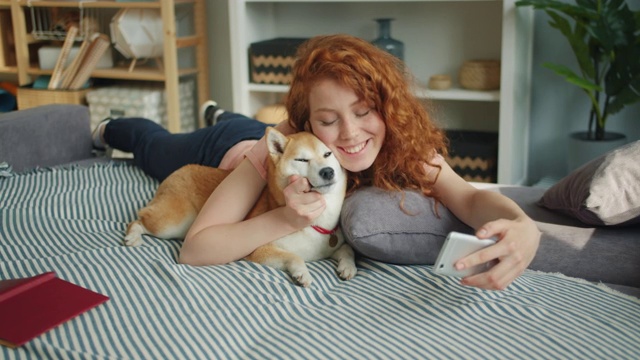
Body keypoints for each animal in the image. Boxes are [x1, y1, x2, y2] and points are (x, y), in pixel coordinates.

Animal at [124, 126, 356, 286]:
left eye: (327, 154)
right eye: (302, 160)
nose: (328, 171)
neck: (316, 224)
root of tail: (178, 170)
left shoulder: (333, 244)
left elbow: (347, 249)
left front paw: (348, 266)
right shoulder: (259, 250)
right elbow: (294, 256)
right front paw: (302, 273)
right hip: (174, 224)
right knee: (139, 217)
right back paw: (132, 235)